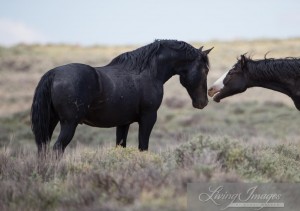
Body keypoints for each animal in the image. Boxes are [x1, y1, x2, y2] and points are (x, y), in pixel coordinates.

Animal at [31, 40, 213, 155]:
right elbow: (143, 147)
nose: (203, 102)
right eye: (205, 70)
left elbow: (121, 146)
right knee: (56, 150)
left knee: (43, 150)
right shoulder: (148, 117)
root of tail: (53, 74)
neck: (148, 71)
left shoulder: (123, 123)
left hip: (50, 122)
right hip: (69, 124)